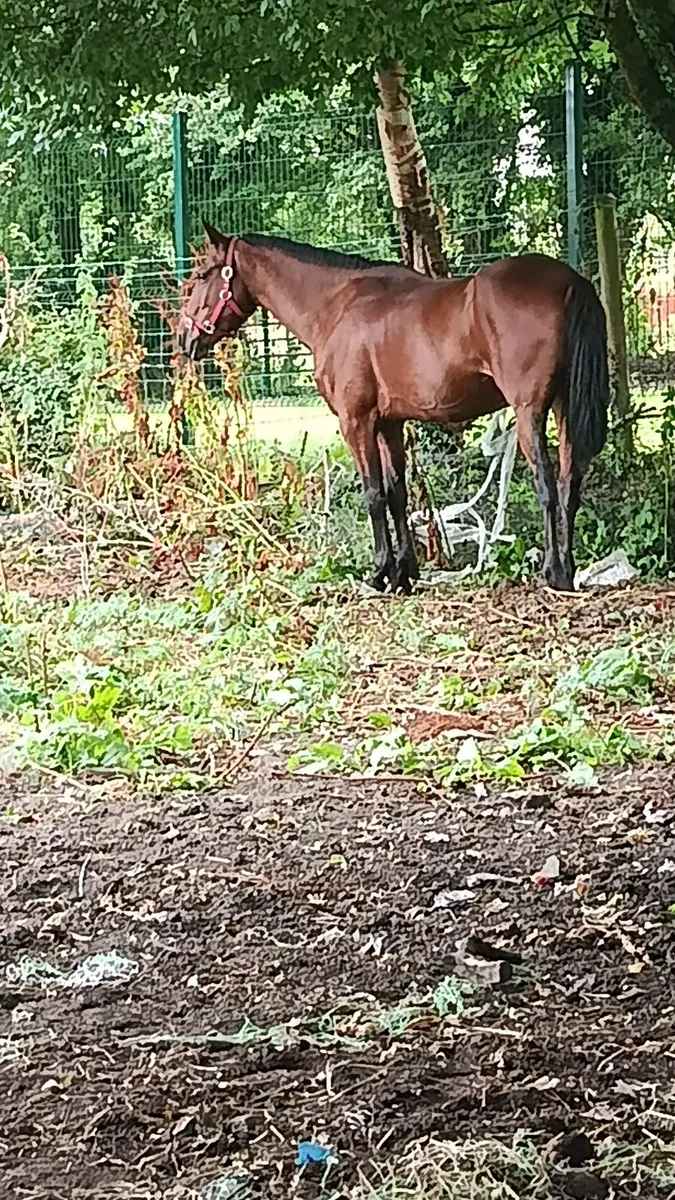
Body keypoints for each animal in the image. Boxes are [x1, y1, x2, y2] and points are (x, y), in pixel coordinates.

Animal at [177, 224, 609, 593]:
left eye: (201, 274)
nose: (183, 339)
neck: (336, 305)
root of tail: (570, 282)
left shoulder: (355, 421)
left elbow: (373, 494)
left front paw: (379, 572)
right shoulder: (390, 424)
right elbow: (397, 492)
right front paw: (404, 573)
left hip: (529, 413)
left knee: (547, 485)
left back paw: (553, 572)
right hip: (563, 409)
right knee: (570, 482)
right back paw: (568, 569)